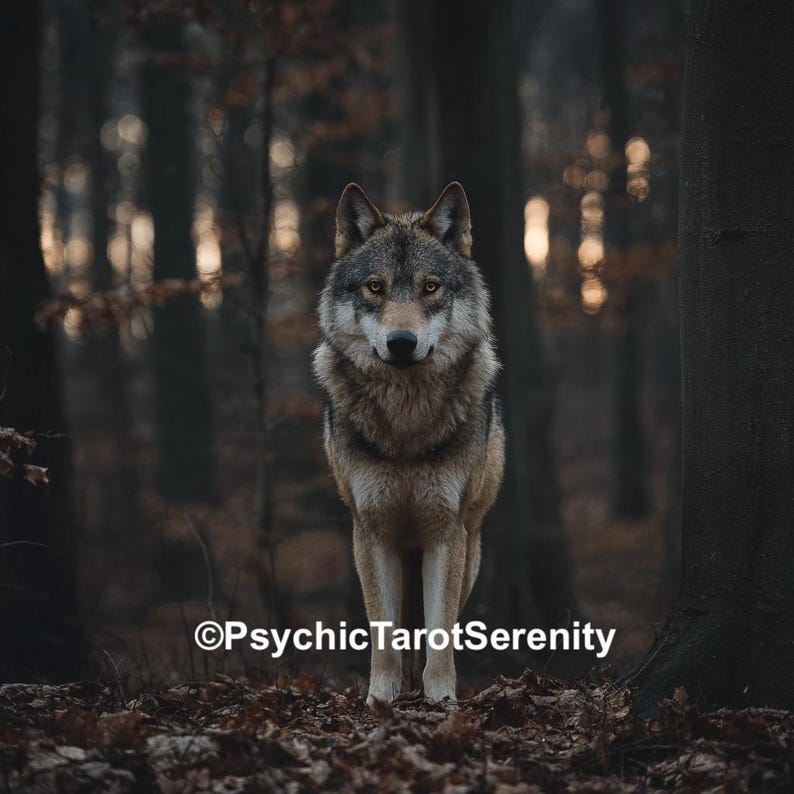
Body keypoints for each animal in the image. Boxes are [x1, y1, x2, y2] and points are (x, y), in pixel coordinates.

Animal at [312, 181, 505, 705]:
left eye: (430, 287)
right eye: (375, 287)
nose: (402, 342)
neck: (406, 425)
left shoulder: (446, 533)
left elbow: (440, 636)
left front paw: (441, 702)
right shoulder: (371, 532)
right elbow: (384, 634)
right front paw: (380, 700)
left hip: (470, 551)